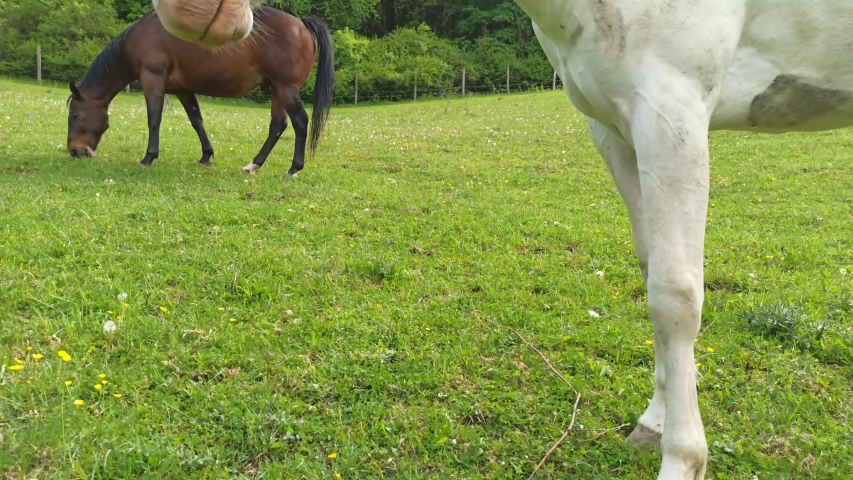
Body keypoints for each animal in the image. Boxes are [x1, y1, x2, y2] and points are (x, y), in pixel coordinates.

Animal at [66, 6, 334, 177]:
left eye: (75, 115)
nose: (75, 151)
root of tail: (301, 24)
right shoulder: (183, 90)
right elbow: (197, 120)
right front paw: (206, 156)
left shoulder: (152, 80)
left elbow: (154, 120)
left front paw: (148, 158)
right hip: (278, 91)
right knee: (278, 126)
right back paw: (253, 166)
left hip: (286, 89)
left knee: (300, 122)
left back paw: (293, 169)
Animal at [153, 1, 853, 479]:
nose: (189, 15)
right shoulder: (618, 126)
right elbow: (653, 271)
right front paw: (653, 423)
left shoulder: (672, 111)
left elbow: (676, 295)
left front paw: (682, 459)